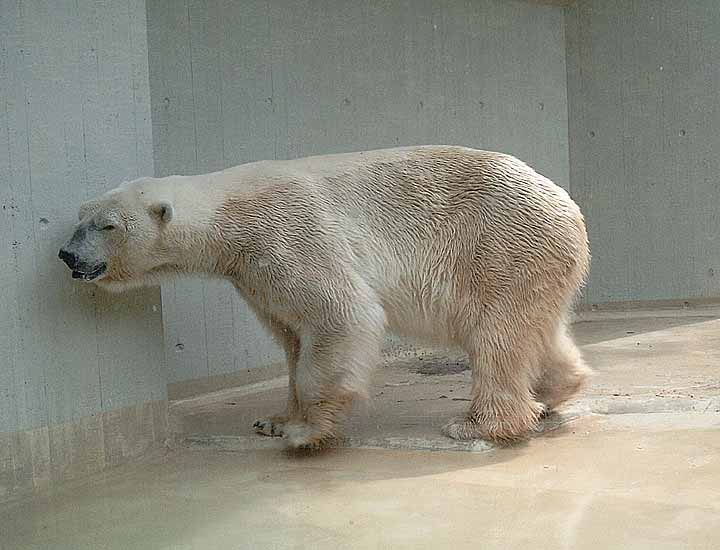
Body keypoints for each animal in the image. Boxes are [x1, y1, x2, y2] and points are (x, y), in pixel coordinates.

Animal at [60, 146, 592, 448]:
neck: (229, 216)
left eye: (107, 226)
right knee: (536, 328)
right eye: (80, 216)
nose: (67, 255)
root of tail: (568, 203)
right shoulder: (252, 274)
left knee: (496, 334)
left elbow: (340, 315)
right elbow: (292, 339)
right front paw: (274, 420)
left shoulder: (288, 234)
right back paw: (553, 392)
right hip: (534, 260)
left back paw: (479, 425)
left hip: (498, 245)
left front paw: (305, 432)